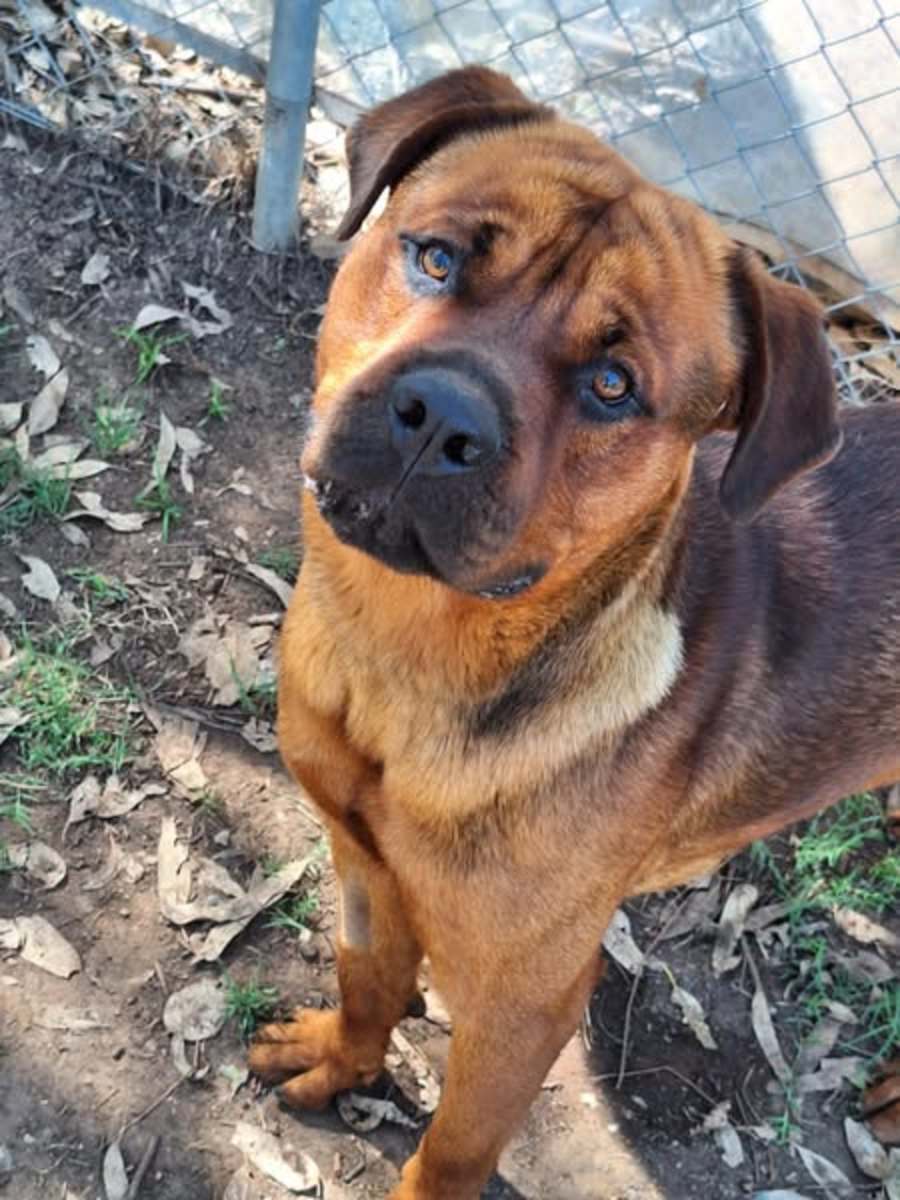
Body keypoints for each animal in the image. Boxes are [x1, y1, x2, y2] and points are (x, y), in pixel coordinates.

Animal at [248, 67, 900, 1199]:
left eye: (612, 386)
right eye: (436, 256)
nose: (441, 416)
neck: (405, 661)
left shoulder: (524, 1005)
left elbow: (453, 1151)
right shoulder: (363, 863)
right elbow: (367, 983)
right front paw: (340, 1062)